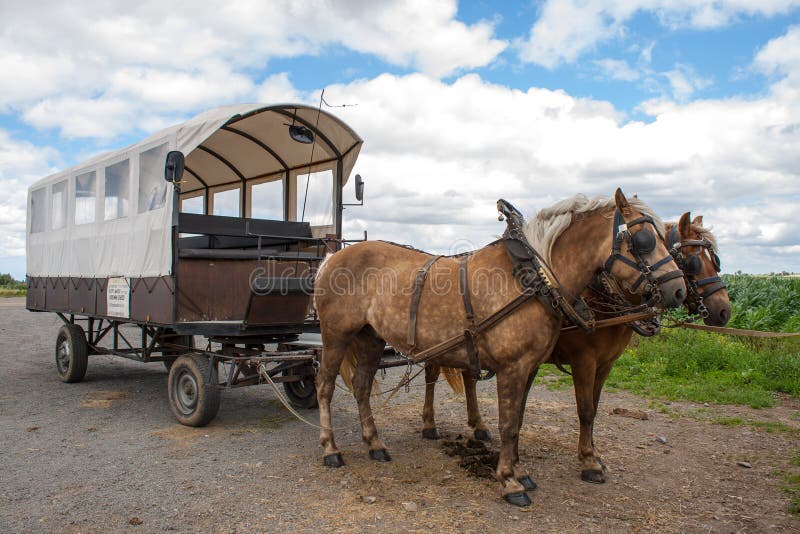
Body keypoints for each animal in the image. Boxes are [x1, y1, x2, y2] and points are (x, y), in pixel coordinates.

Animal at [313, 189, 686, 506]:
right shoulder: (516, 366)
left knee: (361, 386)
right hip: (335, 337)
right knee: (325, 387)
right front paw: (510, 481)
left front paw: (521, 471)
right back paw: (331, 450)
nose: (679, 291)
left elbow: (518, 419)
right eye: (643, 239)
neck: (534, 277)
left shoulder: (532, 367)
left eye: (668, 240)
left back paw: (374, 444)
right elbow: (509, 424)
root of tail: (330, 258)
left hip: (370, 338)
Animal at [422, 211, 730, 485]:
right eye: (692, 261)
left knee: (468, 378)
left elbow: (592, 407)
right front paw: (588, 463)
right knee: (432, 375)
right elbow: (583, 409)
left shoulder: (604, 364)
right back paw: (430, 424)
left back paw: (478, 426)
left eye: (714, 260)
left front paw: (592, 455)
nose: (724, 311)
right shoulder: (583, 361)